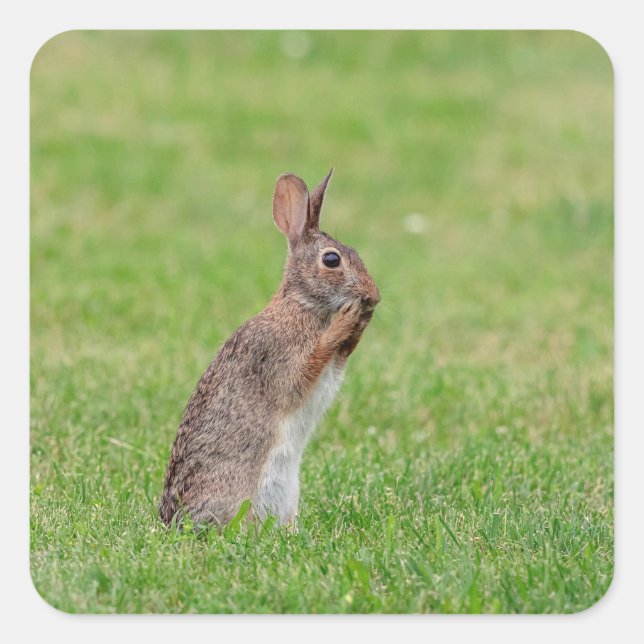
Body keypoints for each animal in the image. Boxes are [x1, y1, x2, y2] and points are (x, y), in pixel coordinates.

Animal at [159, 169, 380, 528]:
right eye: (332, 259)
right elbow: (308, 369)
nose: (374, 295)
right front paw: (347, 318)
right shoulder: (279, 357)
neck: (301, 305)